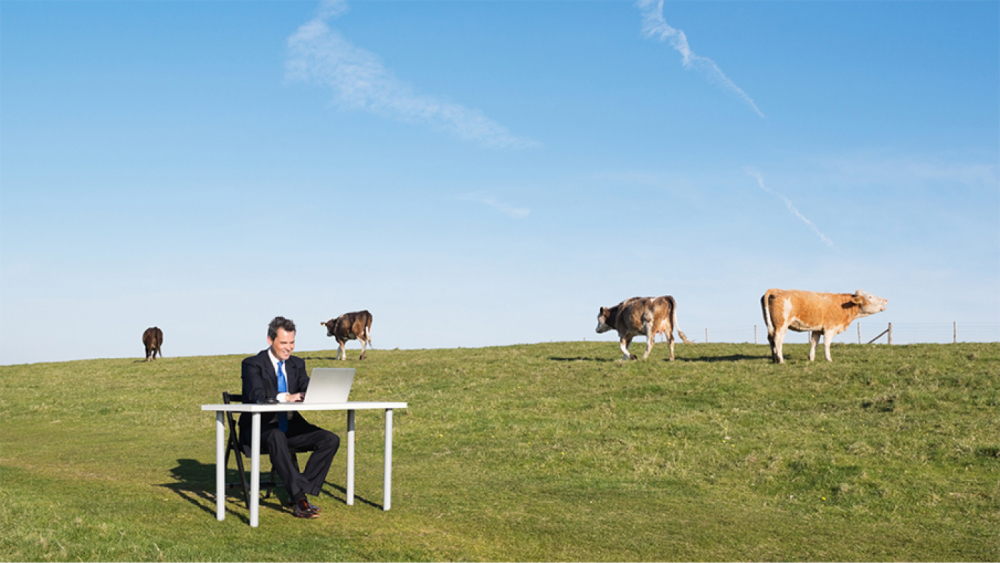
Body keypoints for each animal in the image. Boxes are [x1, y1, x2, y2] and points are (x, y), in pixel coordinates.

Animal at [760, 288, 888, 364]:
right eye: (870, 296)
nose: (886, 300)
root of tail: (776, 290)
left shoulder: (817, 329)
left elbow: (814, 343)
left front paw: (811, 358)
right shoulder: (829, 328)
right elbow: (827, 343)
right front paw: (829, 359)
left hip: (771, 325)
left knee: (771, 339)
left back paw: (774, 358)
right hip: (781, 324)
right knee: (778, 340)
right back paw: (781, 360)